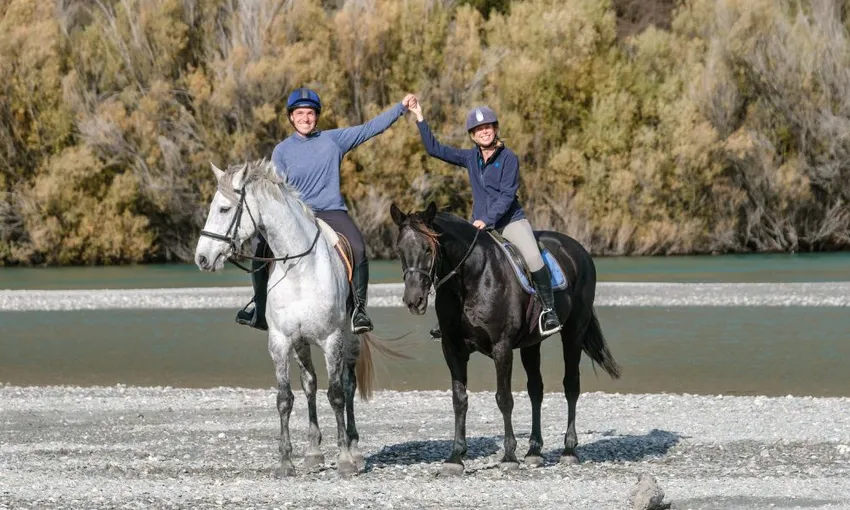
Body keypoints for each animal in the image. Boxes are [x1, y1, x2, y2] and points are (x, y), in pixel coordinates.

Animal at [194, 159, 377, 477]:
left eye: (225, 209)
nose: (202, 258)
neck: (299, 267)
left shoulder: (331, 340)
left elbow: (337, 395)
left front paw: (344, 459)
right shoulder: (280, 341)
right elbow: (285, 398)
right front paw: (286, 462)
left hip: (350, 339)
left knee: (348, 385)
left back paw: (354, 451)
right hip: (302, 344)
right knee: (310, 385)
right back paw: (314, 452)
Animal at [390, 202, 621, 475]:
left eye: (428, 249)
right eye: (399, 249)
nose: (413, 300)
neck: (473, 277)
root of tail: (579, 249)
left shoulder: (502, 348)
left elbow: (504, 399)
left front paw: (509, 455)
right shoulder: (452, 349)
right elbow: (459, 400)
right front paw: (455, 457)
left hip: (573, 333)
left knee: (571, 386)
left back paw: (569, 450)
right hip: (532, 344)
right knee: (536, 390)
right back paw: (534, 451)